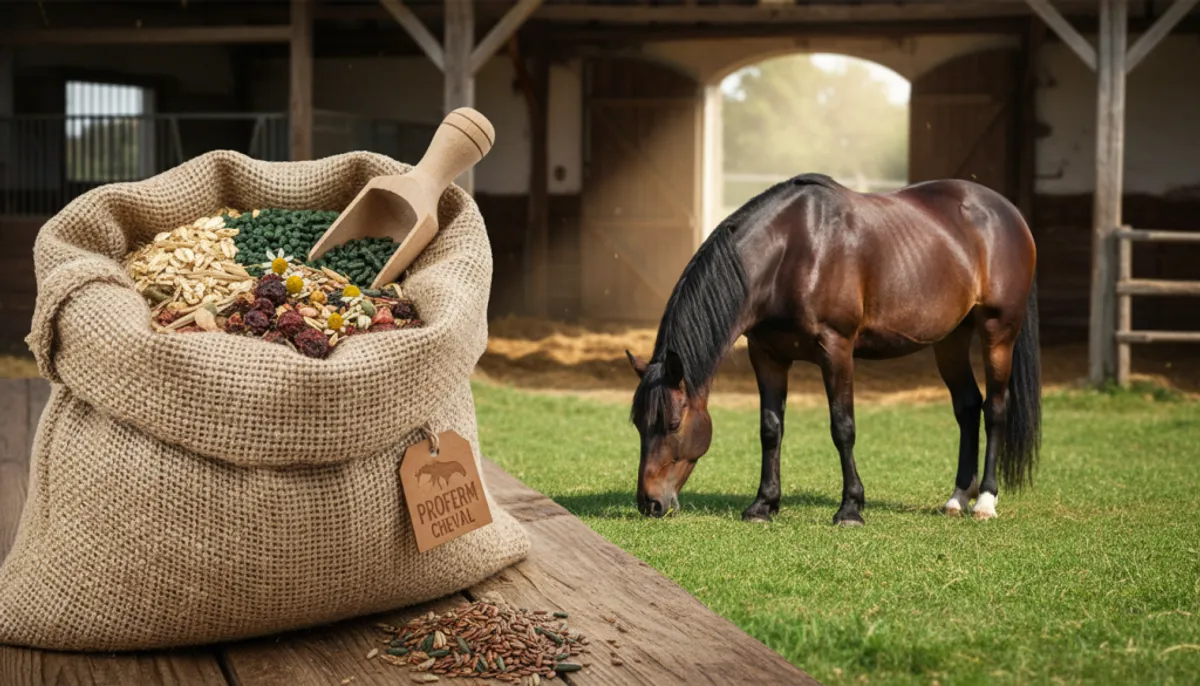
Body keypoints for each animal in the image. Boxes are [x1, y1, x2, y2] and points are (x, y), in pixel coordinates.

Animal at [626, 174, 1040, 525]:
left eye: (673, 423)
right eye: (637, 424)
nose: (650, 503)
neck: (791, 251)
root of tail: (1010, 212)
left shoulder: (836, 349)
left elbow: (843, 427)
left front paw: (851, 509)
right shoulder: (767, 355)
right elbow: (770, 429)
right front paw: (763, 505)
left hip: (998, 332)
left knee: (995, 409)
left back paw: (985, 501)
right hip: (950, 339)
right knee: (968, 407)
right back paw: (957, 498)